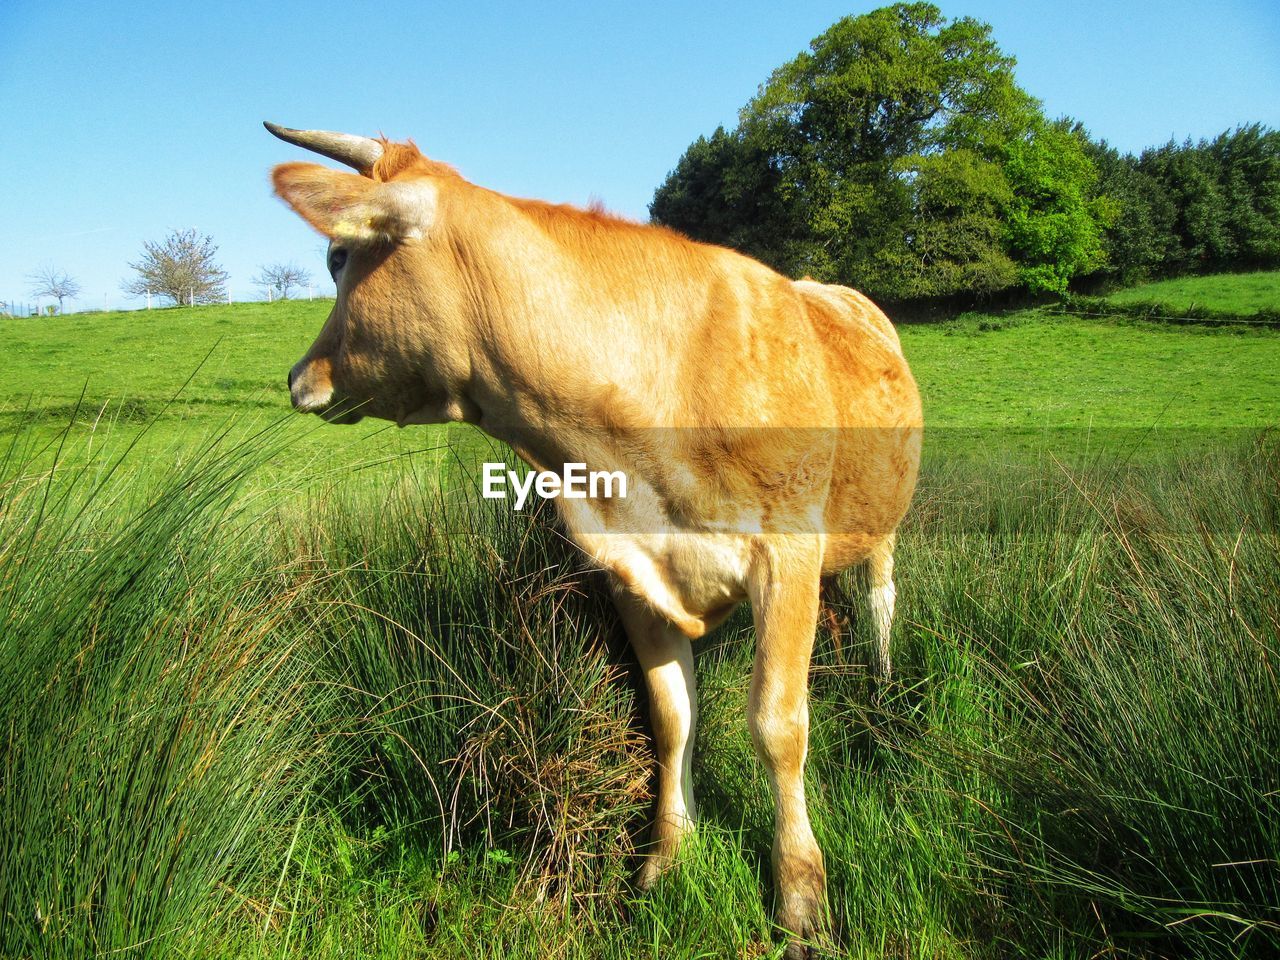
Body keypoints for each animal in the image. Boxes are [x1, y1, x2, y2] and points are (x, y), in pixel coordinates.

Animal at [267, 124, 921, 957]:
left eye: (339, 257)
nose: (297, 376)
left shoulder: (788, 554)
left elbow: (779, 723)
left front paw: (800, 893)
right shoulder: (634, 573)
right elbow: (671, 718)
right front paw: (666, 861)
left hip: (884, 520)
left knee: (881, 596)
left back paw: (883, 681)